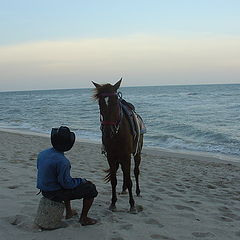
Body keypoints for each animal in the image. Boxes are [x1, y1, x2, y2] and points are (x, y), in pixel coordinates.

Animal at [92, 78, 144, 213]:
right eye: (100, 104)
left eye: (116, 102)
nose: (107, 132)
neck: (117, 132)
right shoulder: (111, 156)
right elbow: (114, 180)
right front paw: (113, 203)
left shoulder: (126, 155)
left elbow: (130, 179)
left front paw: (132, 205)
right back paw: (124, 189)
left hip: (137, 153)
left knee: (135, 171)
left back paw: (137, 191)